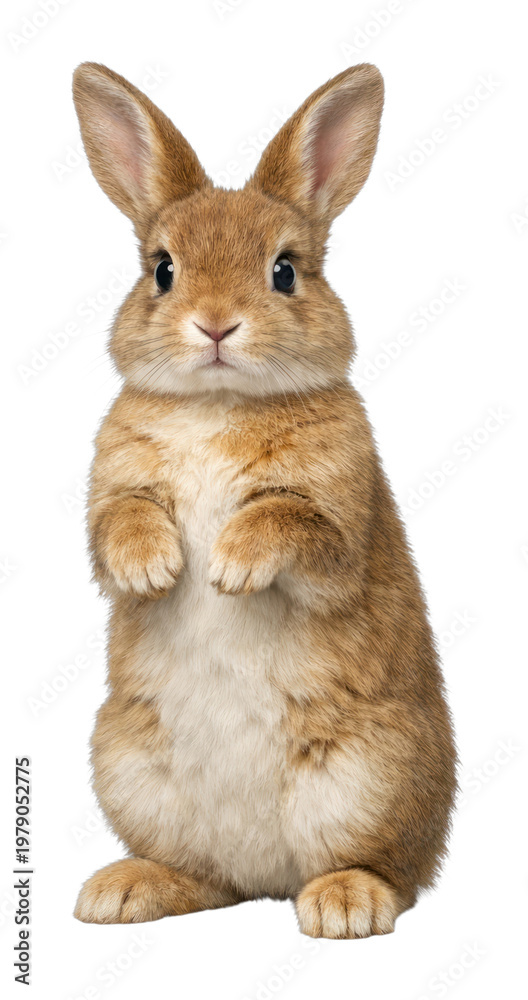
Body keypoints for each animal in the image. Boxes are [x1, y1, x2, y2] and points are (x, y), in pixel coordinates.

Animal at [72, 60, 456, 939]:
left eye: (284, 270)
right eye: (162, 269)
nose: (216, 325)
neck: (219, 403)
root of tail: (266, 879)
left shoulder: (338, 527)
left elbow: (293, 521)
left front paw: (231, 568)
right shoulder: (113, 492)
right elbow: (119, 525)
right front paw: (155, 570)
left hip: (371, 776)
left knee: (391, 871)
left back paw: (345, 905)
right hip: (129, 764)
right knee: (205, 878)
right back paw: (123, 890)